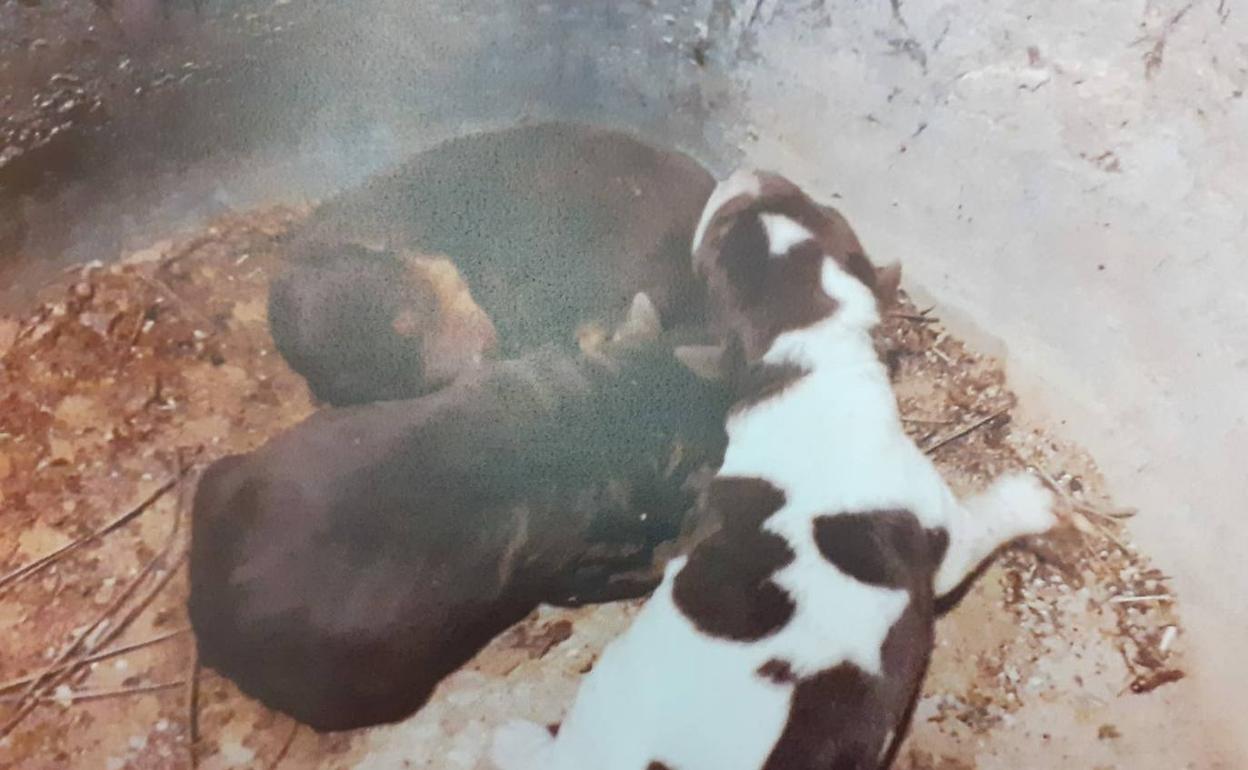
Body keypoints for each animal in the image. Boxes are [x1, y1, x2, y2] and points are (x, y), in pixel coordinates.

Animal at [491, 169, 1058, 768]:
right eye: (718, 236)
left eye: (816, 207)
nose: (749, 174)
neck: (805, 364)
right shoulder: (942, 532)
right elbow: (988, 521)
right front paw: (1033, 499)